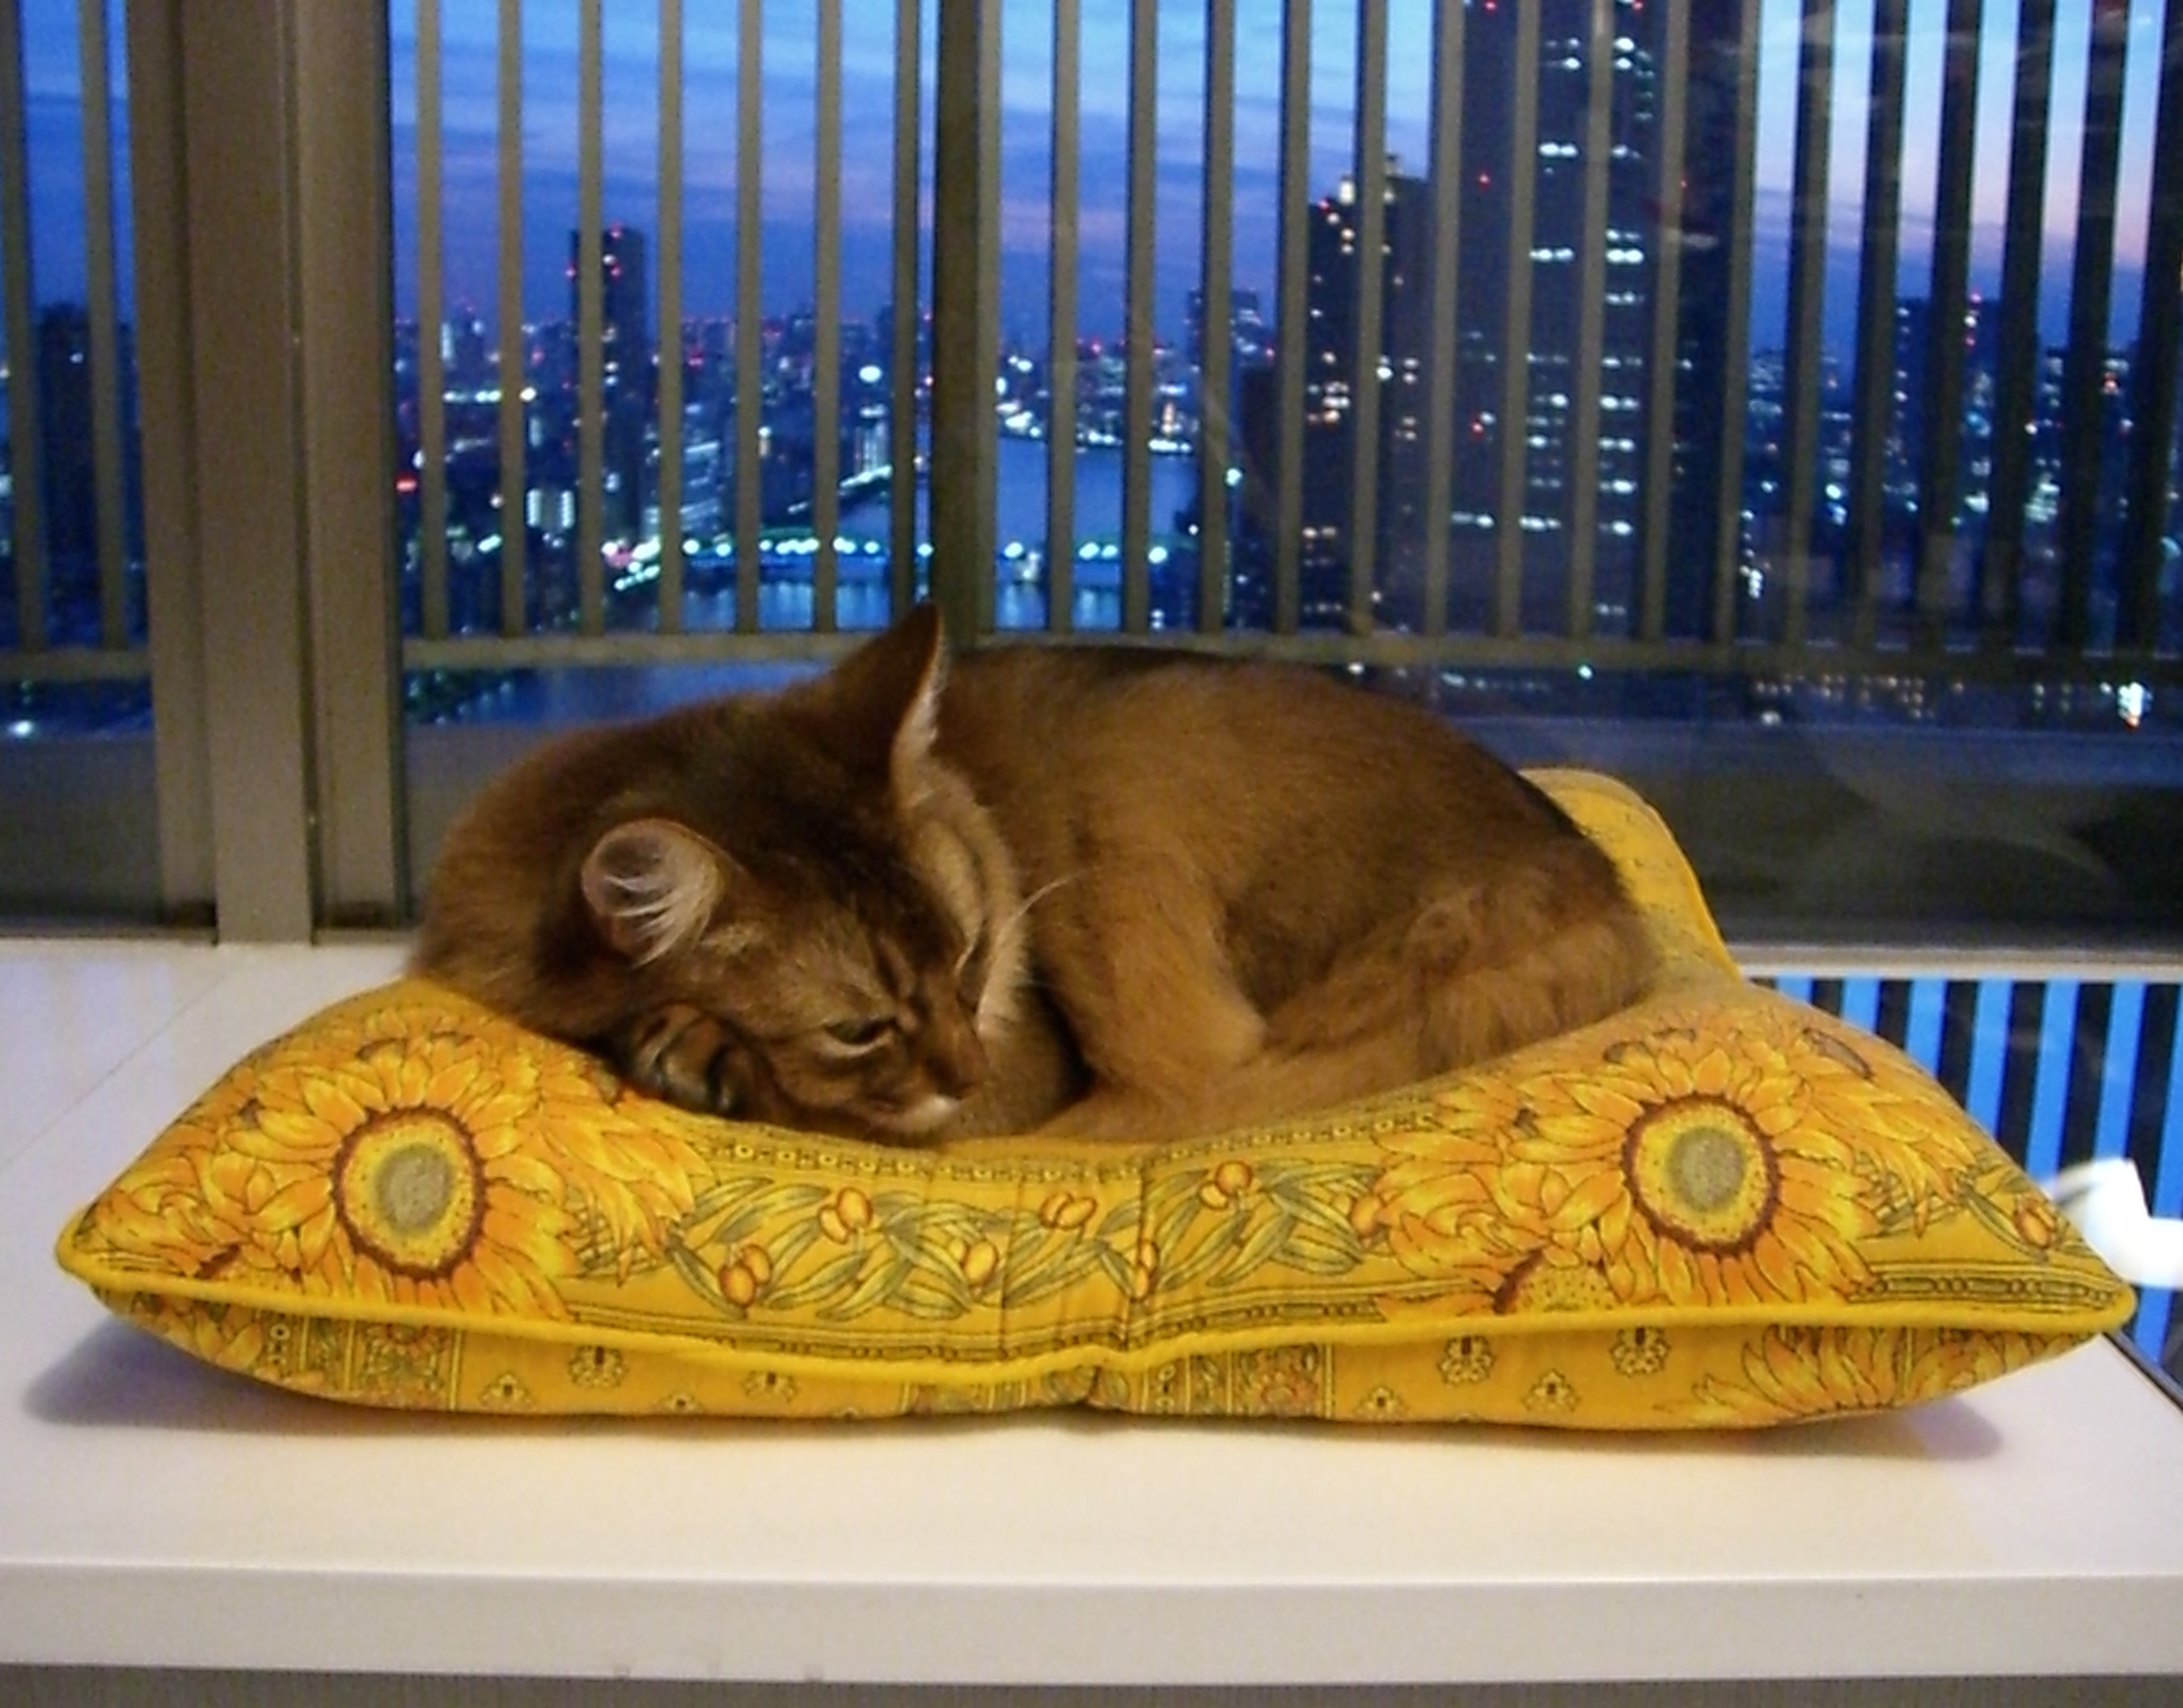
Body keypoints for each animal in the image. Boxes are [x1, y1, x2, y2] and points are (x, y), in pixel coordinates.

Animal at [413, 605, 1654, 1142]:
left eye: (971, 959)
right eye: (858, 1025)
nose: (965, 1069)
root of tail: (1585, 875)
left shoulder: (1029, 1063)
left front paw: (700, 1050)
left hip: (1131, 768)